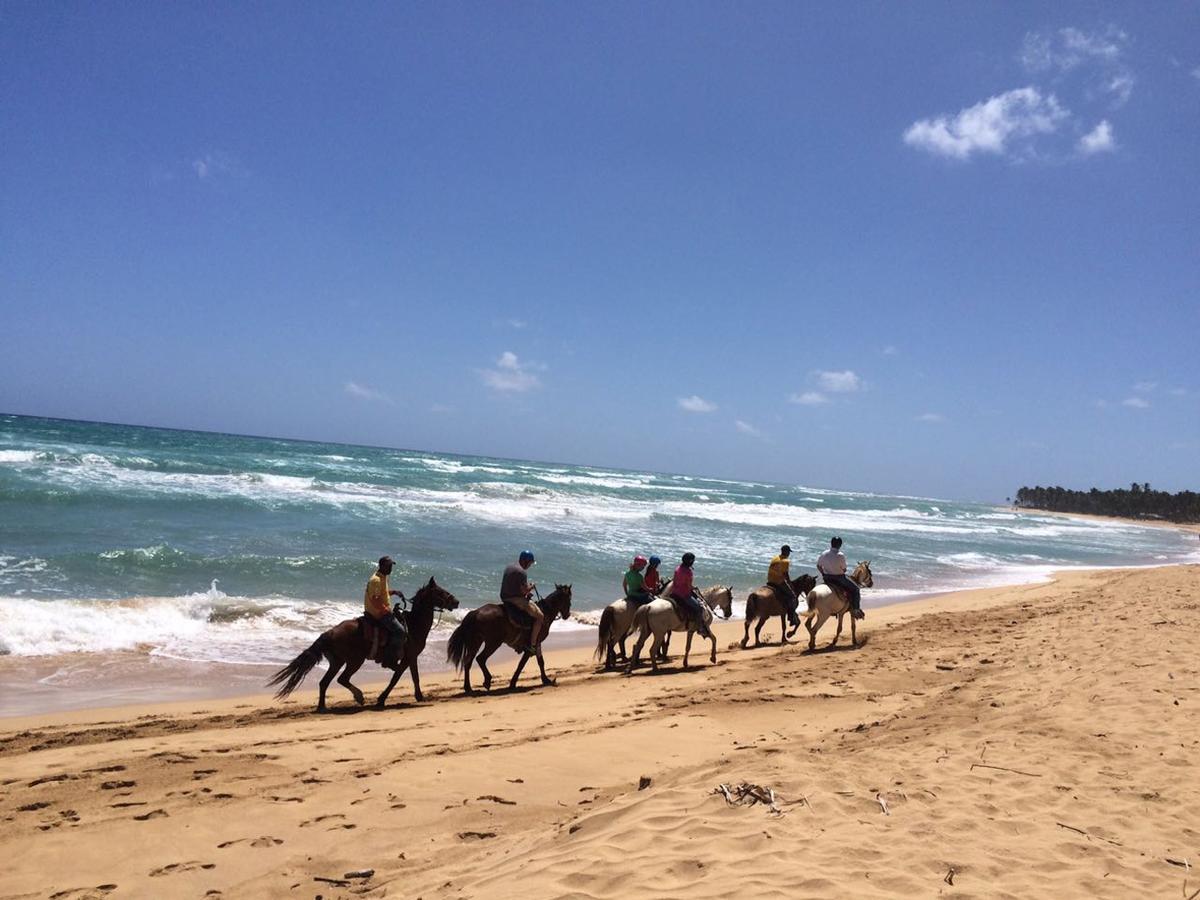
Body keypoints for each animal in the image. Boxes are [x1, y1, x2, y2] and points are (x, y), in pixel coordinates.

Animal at [268, 580, 458, 715]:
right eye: (440, 591)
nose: (456, 601)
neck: (413, 625)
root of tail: (329, 633)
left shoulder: (411, 657)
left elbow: (415, 677)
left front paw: (419, 696)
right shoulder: (408, 657)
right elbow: (396, 678)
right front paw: (381, 699)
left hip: (337, 662)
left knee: (325, 682)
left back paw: (322, 707)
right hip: (354, 661)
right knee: (342, 679)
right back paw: (358, 697)